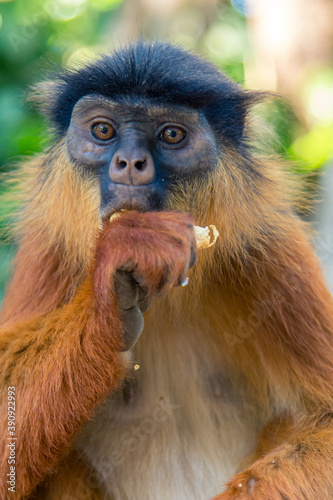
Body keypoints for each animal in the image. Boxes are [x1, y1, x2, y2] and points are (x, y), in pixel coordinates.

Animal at [0, 40, 330, 500]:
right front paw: (114, 286)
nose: (129, 162)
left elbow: (325, 422)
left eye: (171, 135)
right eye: (103, 131)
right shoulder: (49, 245)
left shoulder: (270, 248)